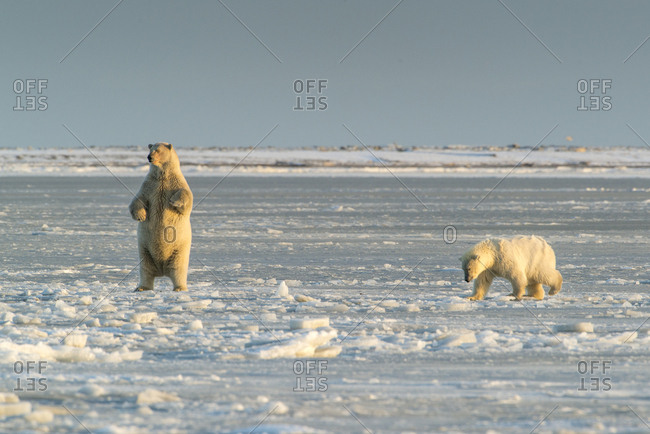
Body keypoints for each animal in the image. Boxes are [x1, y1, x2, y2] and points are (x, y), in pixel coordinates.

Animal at [129, 142, 193, 292]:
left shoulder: (176, 183)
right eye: (150, 149)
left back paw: (179, 288)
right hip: (145, 250)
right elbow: (138, 199)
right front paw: (141, 215)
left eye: (157, 150)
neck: (162, 176)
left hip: (178, 251)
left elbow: (186, 197)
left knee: (178, 269)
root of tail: (162, 270)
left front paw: (174, 201)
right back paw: (141, 288)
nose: (149, 157)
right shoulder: (149, 186)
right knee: (145, 269)